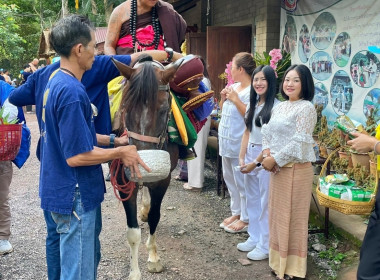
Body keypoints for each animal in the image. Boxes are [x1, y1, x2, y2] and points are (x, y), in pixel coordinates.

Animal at [110, 55, 183, 280]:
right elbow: (133, 232)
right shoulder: (124, 181)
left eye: (163, 110)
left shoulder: (162, 180)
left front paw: (153, 257)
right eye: (125, 107)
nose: (142, 165)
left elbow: (154, 217)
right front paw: (134, 271)